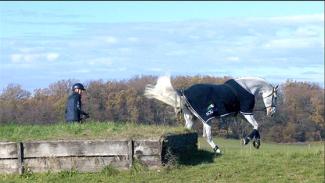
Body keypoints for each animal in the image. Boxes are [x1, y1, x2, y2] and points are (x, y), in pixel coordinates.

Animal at [143, 76, 278, 154]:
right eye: (275, 97)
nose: (272, 112)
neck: (247, 87)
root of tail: (184, 92)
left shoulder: (242, 114)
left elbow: (256, 126)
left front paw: (256, 142)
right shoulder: (247, 112)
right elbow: (256, 125)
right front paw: (247, 140)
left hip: (191, 117)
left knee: (188, 130)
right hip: (206, 119)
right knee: (207, 136)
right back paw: (217, 150)